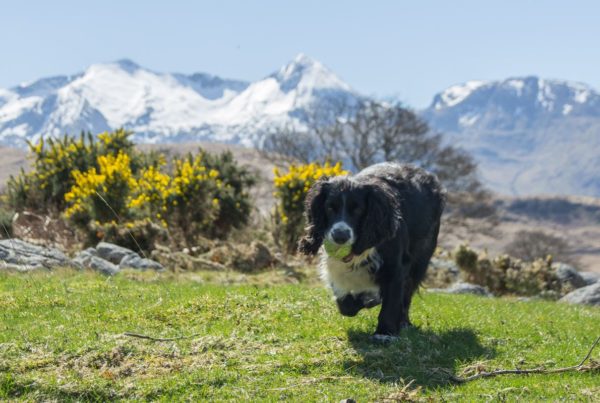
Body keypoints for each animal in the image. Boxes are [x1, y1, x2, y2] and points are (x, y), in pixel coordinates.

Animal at [300, 163, 446, 340]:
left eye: (358, 210)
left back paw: (403, 322)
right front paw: (366, 300)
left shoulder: (397, 267)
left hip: (421, 258)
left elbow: (392, 300)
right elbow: (345, 305)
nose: (340, 236)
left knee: (407, 293)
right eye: (329, 208)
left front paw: (384, 333)